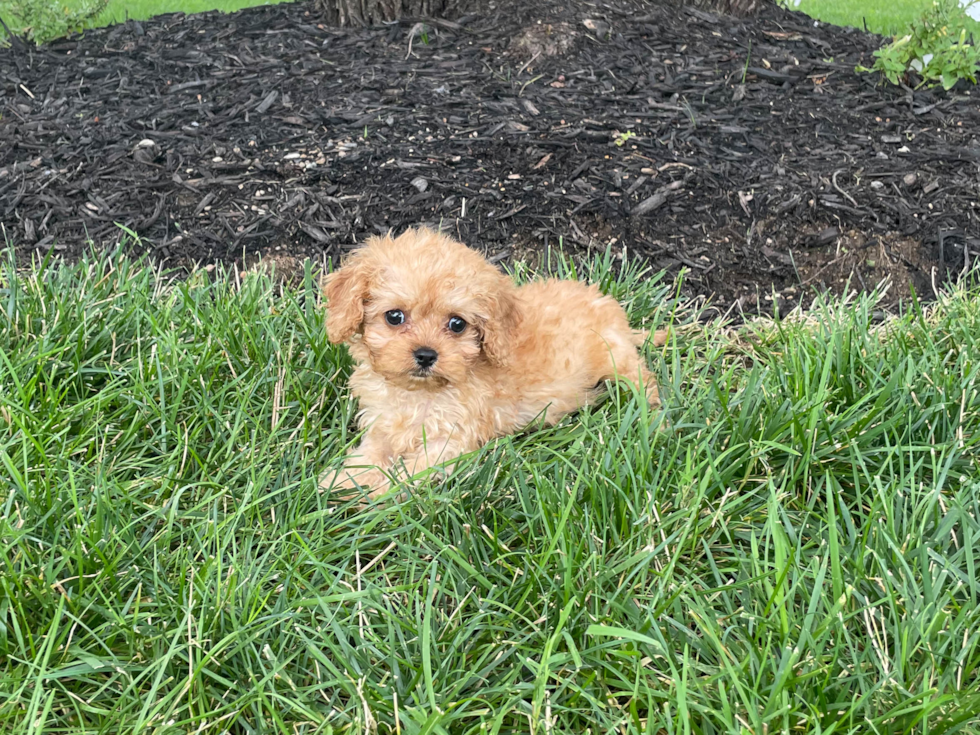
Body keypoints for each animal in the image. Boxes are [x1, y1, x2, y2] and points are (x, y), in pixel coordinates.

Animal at [326, 226, 664, 500]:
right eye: (394, 316)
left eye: (457, 324)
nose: (425, 355)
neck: (418, 393)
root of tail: (612, 311)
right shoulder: (382, 425)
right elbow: (370, 454)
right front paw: (343, 481)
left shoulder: (449, 442)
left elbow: (410, 472)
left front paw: (375, 492)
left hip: (615, 357)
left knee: (643, 378)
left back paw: (653, 415)